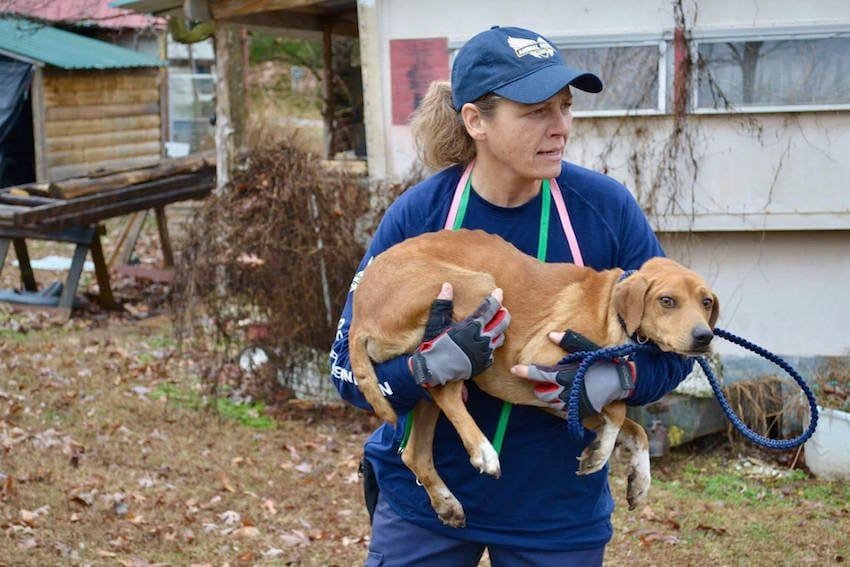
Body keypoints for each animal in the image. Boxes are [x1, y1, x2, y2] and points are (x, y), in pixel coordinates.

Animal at [346, 227, 716, 528]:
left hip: (425, 388)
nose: (705, 337)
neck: (613, 311)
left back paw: (447, 503)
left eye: (707, 302)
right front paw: (600, 455)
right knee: (446, 392)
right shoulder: (544, 363)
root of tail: (359, 314)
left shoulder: (562, 398)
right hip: (480, 286)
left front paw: (638, 480)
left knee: (416, 446)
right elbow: (619, 410)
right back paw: (483, 451)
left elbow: (635, 429)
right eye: (667, 301)